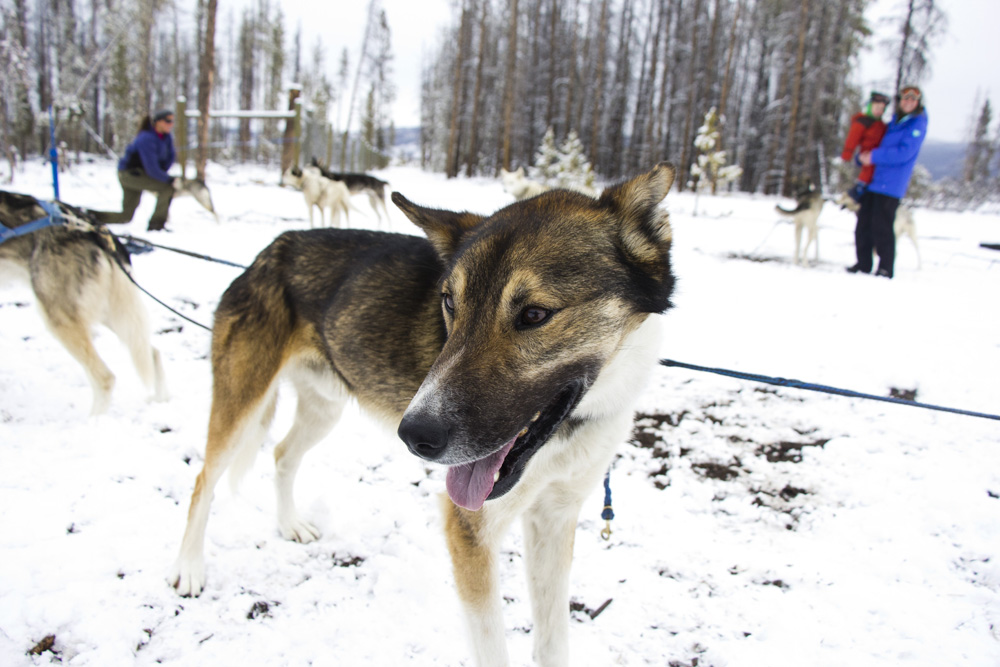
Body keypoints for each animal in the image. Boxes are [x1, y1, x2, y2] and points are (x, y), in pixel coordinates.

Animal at [0, 190, 168, 414]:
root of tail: (94, 230)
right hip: (110, 313)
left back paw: (94, 420)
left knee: (105, 377)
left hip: (60, 318)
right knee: (153, 353)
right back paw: (160, 401)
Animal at [170, 163, 680, 667]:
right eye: (450, 303)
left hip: (324, 409)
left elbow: (553, 642)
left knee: (281, 455)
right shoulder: (469, 530)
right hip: (242, 403)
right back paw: (189, 569)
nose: (414, 435)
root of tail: (272, 250)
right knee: (203, 480)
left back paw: (289, 524)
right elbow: (493, 649)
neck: (571, 430)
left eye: (535, 314)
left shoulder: (553, 521)